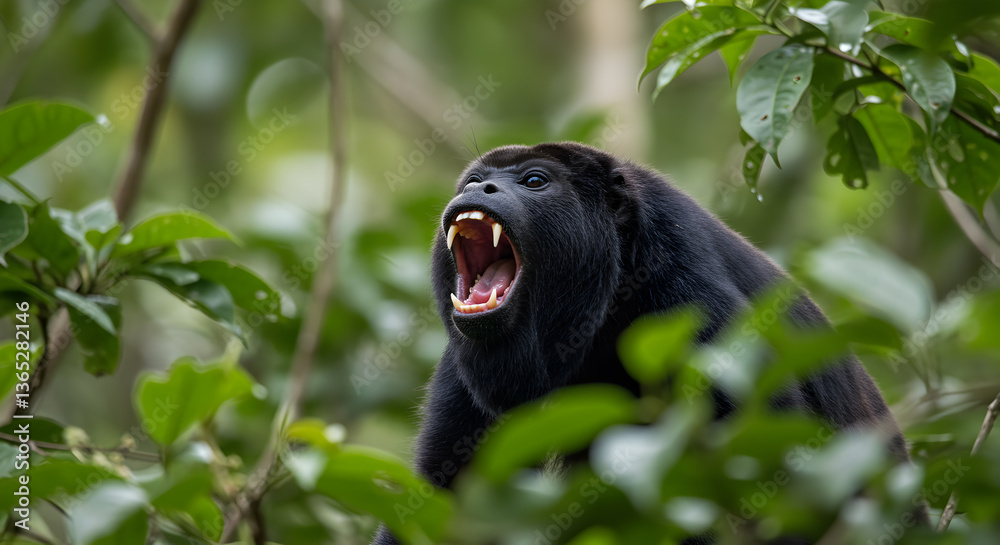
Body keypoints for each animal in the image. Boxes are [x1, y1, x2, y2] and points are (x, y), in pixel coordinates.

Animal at [372, 142, 922, 544]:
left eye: (534, 180)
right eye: (472, 180)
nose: (480, 187)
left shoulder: (689, 298)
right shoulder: (460, 368)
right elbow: (446, 493)